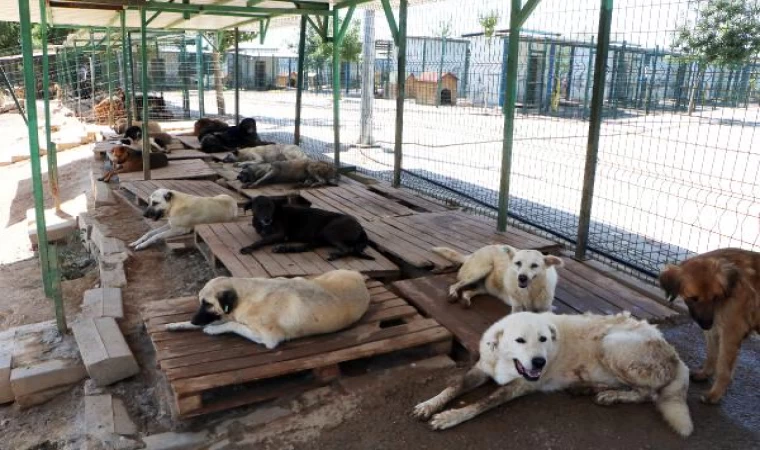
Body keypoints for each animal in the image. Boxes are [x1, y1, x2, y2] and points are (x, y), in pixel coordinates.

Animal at [164, 268, 372, 350]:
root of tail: (359, 277)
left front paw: (213, 330)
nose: (194, 320)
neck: (246, 296)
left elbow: (234, 326)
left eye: (207, 303)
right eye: (201, 302)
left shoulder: (269, 338)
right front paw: (177, 325)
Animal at [240, 195, 374, 262]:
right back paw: (284, 249)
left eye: (270, 206)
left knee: (348, 249)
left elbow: (261, 240)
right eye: (258, 207)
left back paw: (334, 255)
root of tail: (360, 226)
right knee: (307, 247)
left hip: (329, 231)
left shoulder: (280, 234)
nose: (267, 219)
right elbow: (263, 237)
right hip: (320, 237)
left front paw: (248, 247)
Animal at [412, 312, 692, 436]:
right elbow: (455, 385)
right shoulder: (482, 368)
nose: (539, 362)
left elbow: (483, 402)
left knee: (648, 394)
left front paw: (449, 417)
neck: (506, 361)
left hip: (611, 343)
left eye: (544, 339)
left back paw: (611, 396)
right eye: (520, 340)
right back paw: (586, 388)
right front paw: (430, 404)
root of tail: (677, 356)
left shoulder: (520, 386)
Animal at [430, 246, 560, 312]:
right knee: (454, 285)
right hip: (481, 271)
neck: (531, 291)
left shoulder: (545, 310)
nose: (522, 278)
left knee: (467, 292)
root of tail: (472, 254)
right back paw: (453, 295)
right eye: (518, 263)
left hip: (485, 288)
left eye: (534, 265)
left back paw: (466, 301)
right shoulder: (517, 308)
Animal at [660, 246, 760, 404]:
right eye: (692, 298)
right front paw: (705, 374)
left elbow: (723, 368)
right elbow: (712, 354)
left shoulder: (731, 332)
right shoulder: (715, 328)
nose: (707, 324)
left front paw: (714, 394)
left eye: (715, 297)